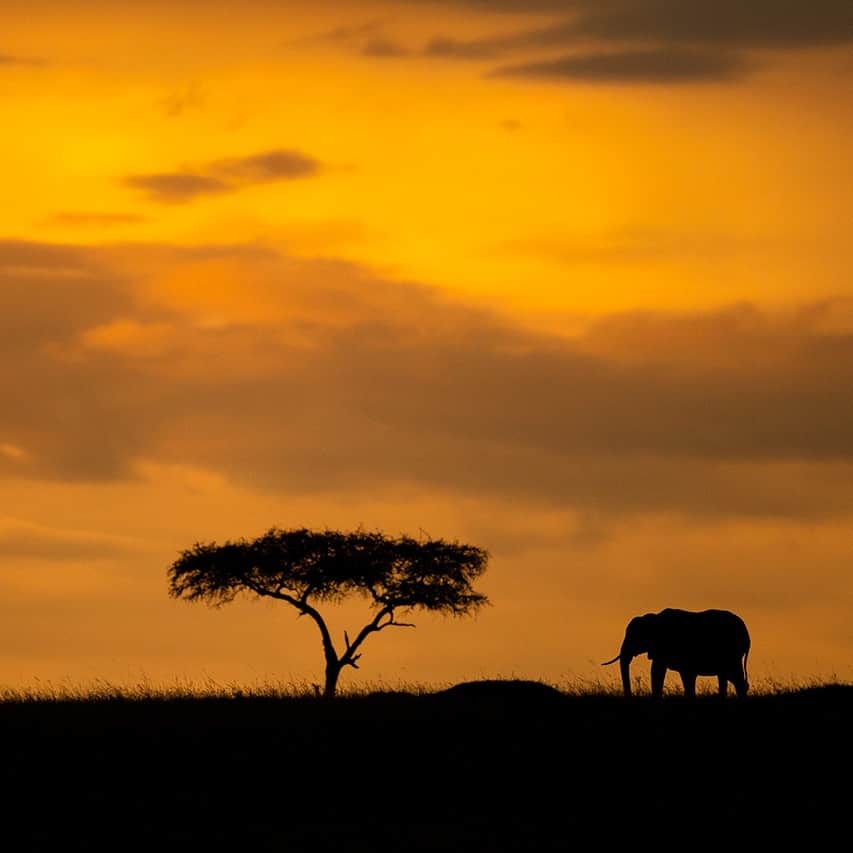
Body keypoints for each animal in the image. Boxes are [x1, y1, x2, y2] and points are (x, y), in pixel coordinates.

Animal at [602, 608, 750, 698]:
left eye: (635, 637)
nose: (630, 695)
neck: (654, 618)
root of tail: (747, 635)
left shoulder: (666, 646)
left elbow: (658, 669)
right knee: (727, 676)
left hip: (731, 652)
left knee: (735, 676)